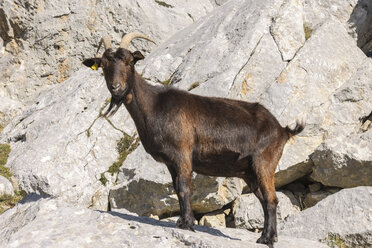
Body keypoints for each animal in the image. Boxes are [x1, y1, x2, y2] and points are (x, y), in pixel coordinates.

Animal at [83, 33, 304, 248]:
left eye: (129, 62)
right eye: (103, 65)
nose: (116, 87)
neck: (154, 106)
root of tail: (282, 130)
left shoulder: (182, 154)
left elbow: (184, 188)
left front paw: (187, 224)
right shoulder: (171, 162)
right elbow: (176, 189)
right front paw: (182, 221)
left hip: (264, 162)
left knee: (271, 199)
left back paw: (267, 239)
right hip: (249, 172)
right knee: (265, 200)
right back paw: (268, 237)